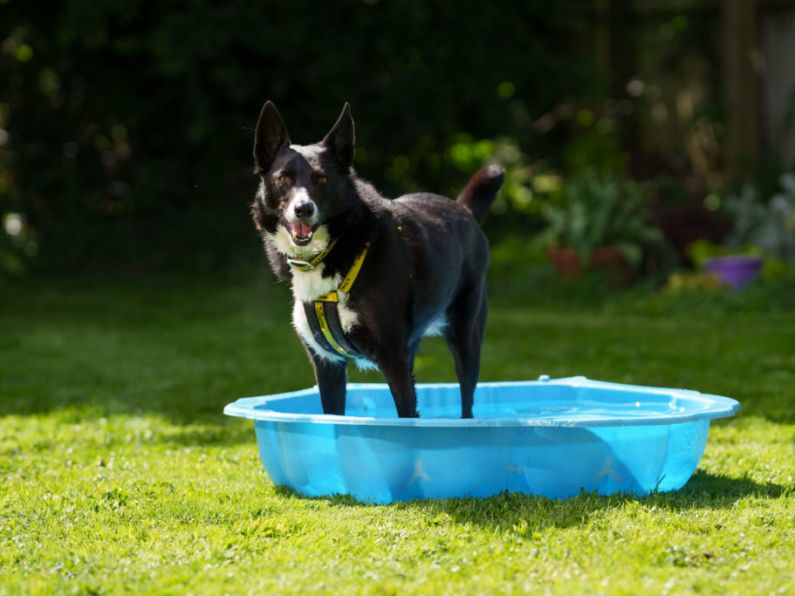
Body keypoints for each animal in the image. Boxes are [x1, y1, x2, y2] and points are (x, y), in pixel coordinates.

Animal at [250, 101, 504, 420]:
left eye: (322, 179)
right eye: (283, 178)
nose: (303, 209)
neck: (334, 249)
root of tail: (464, 209)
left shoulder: (393, 358)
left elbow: (406, 415)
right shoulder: (328, 366)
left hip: (466, 334)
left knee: (467, 399)